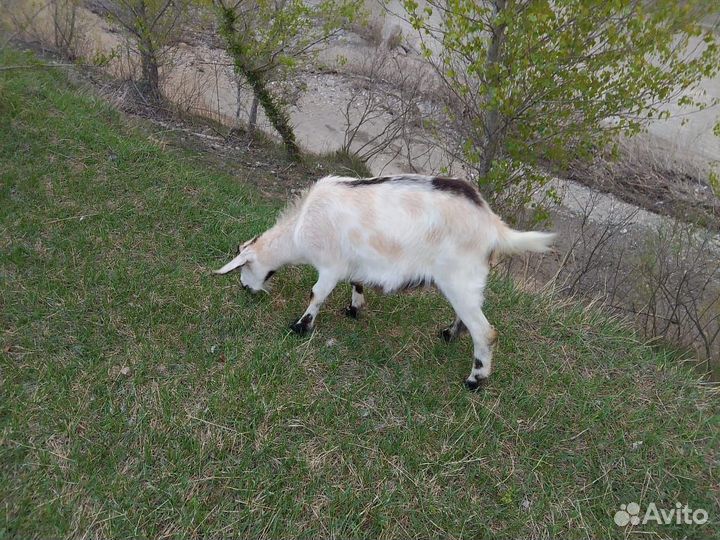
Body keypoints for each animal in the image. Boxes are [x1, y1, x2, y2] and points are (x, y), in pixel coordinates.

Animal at [215, 174, 555, 390]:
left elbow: (317, 294)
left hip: (459, 278)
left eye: (244, 271)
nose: (246, 289)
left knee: (486, 332)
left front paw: (301, 326)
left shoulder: (330, 265)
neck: (300, 228)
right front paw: (354, 309)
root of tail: (492, 225)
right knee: (469, 315)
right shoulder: (352, 263)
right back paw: (449, 333)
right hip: (465, 283)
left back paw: (474, 380)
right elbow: (356, 282)